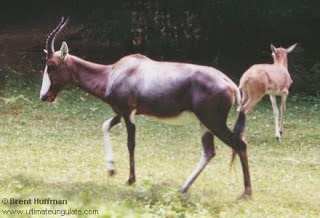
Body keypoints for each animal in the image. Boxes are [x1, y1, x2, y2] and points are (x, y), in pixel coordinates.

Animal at [39, 17, 252, 198]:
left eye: (51, 65)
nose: (44, 96)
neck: (114, 72)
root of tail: (229, 84)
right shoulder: (121, 112)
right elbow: (105, 126)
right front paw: (111, 169)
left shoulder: (128, 113)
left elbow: (131, 143)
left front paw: (130, 179)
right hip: (205, 124)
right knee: (209, 152)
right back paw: (183, 188)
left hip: (213, 122)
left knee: (239, 144)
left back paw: (246, 193)